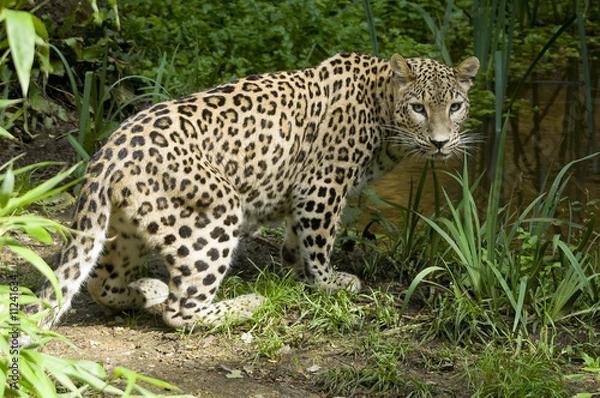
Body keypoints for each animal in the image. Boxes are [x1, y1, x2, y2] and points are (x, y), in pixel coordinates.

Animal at [28, 52, 480, 330]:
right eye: (418, 107)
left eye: (455, 106)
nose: (441, 142)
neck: (383, 109)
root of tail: (109, 151)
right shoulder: (323, 186)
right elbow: (321, 240)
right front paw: (328, 283)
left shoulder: (306, 192)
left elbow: (299, 238)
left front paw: (295, 267)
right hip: (214, 213)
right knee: (181, 310)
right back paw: (247, 305)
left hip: (130, 226)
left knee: (99, 282)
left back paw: (145, 290)